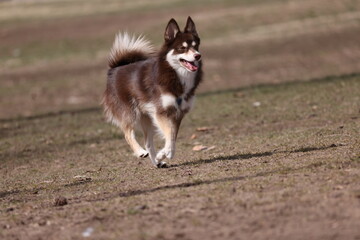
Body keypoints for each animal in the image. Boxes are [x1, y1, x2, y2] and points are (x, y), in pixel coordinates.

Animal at [101, 16, 202, 168]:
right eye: (182, 48)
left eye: (196, 46)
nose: (198, 56)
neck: (175, 74)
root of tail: (115, 68)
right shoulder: (161, 112)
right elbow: (169, 134)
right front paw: (165, 153)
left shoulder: (178, 113)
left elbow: (172, 136)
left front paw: (164, 154)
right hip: (130, 113)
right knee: (128, 134)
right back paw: (140, 152)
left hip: (148, 118)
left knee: (148, 143)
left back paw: (157, 163)